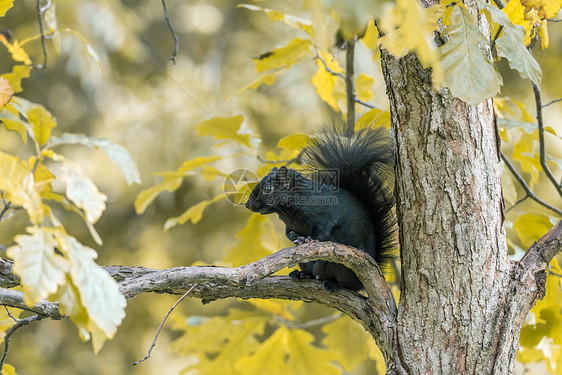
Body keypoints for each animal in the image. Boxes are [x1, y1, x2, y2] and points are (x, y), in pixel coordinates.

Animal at [243, 125, 396, 292]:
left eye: (268, 188)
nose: (248, 204)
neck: (289, 212)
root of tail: (360, 284)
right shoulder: (290, 225)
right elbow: (288, 233)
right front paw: (296, 238)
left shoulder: (325, 214)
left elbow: (324, 227)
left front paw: (311, 239)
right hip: (306, 263)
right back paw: (301, 274)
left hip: (341, 268)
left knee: (341, 280)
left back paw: (332, 283)